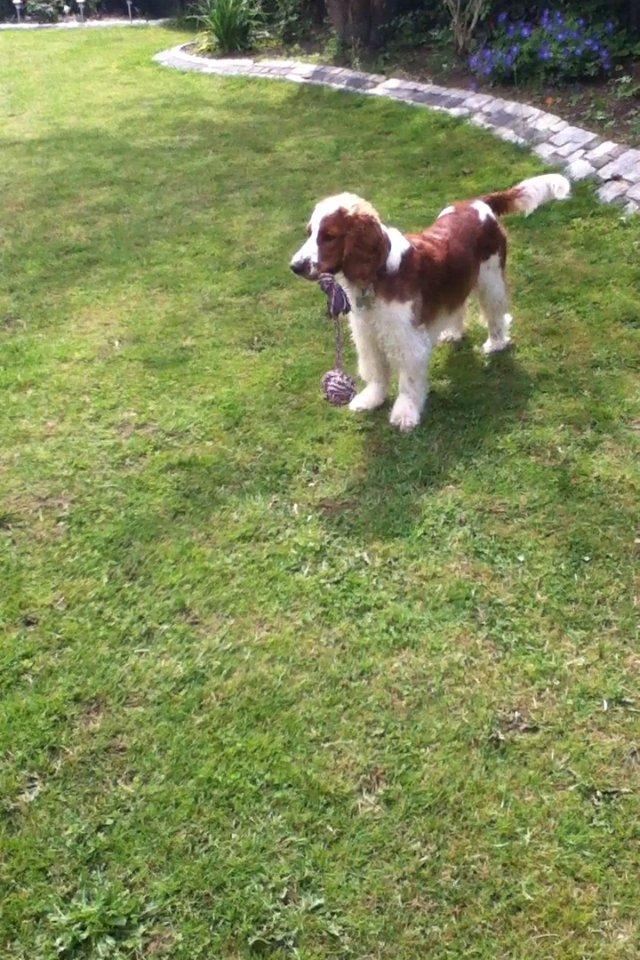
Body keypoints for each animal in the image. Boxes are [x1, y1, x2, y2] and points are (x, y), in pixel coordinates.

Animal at [292, 172, 568, 432]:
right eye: (309, 233)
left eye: (329, 236)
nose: (295, 266)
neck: (378, 274)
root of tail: (479, 202)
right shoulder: (367, 334)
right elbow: (377, 372)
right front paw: (371, 399)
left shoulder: (407, 339)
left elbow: (408, 382)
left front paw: (405, 414)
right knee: (458, 305)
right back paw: (453, 333)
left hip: (490, 279)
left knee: (496, 314)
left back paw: (496, 342)